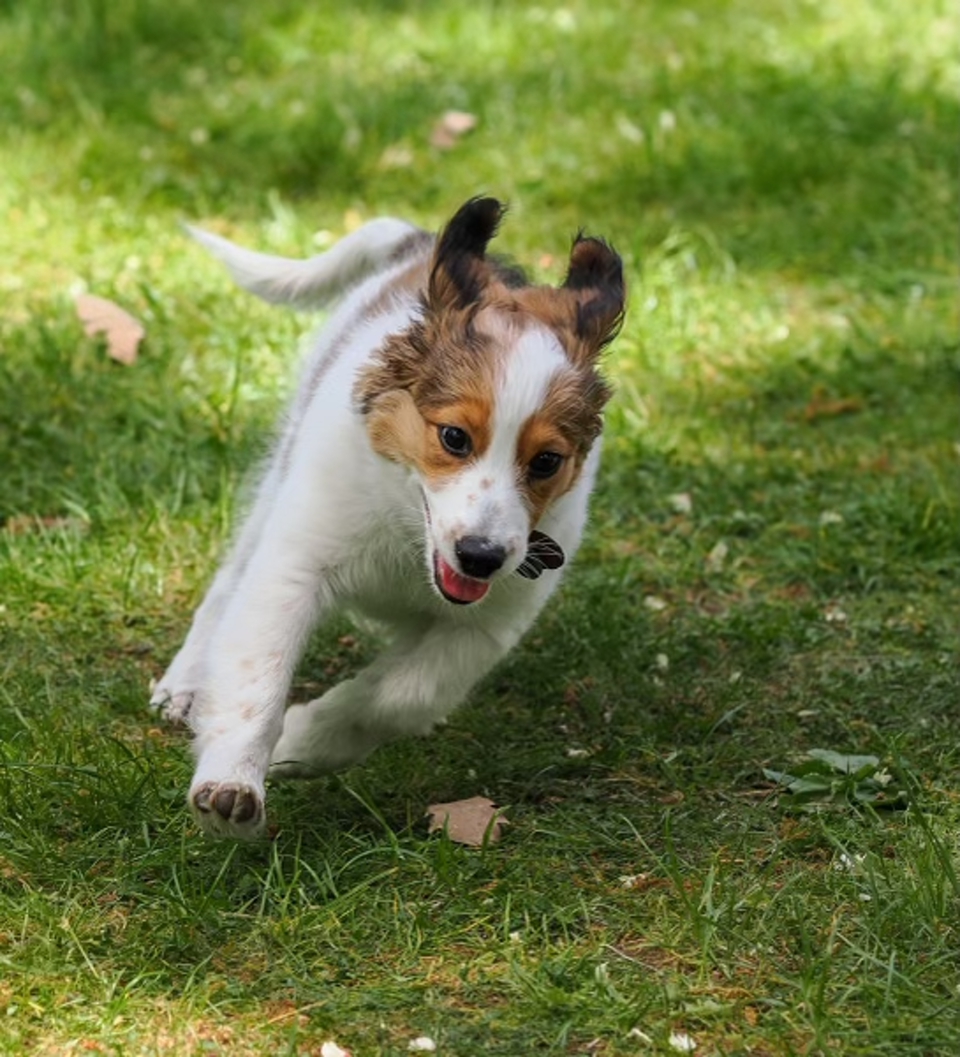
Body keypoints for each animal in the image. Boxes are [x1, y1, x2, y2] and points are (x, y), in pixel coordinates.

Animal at [152, 198, 621, 837]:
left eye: (547, 461)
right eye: (454, 437)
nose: (481, 557)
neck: (408, 531)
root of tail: (417, 245)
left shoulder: (483, 627)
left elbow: (401, 696)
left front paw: (302, 741)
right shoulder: (295, 565)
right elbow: (258, 674)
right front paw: (232, 783)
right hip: (281, 472)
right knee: (231, 580)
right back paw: (186, 681)